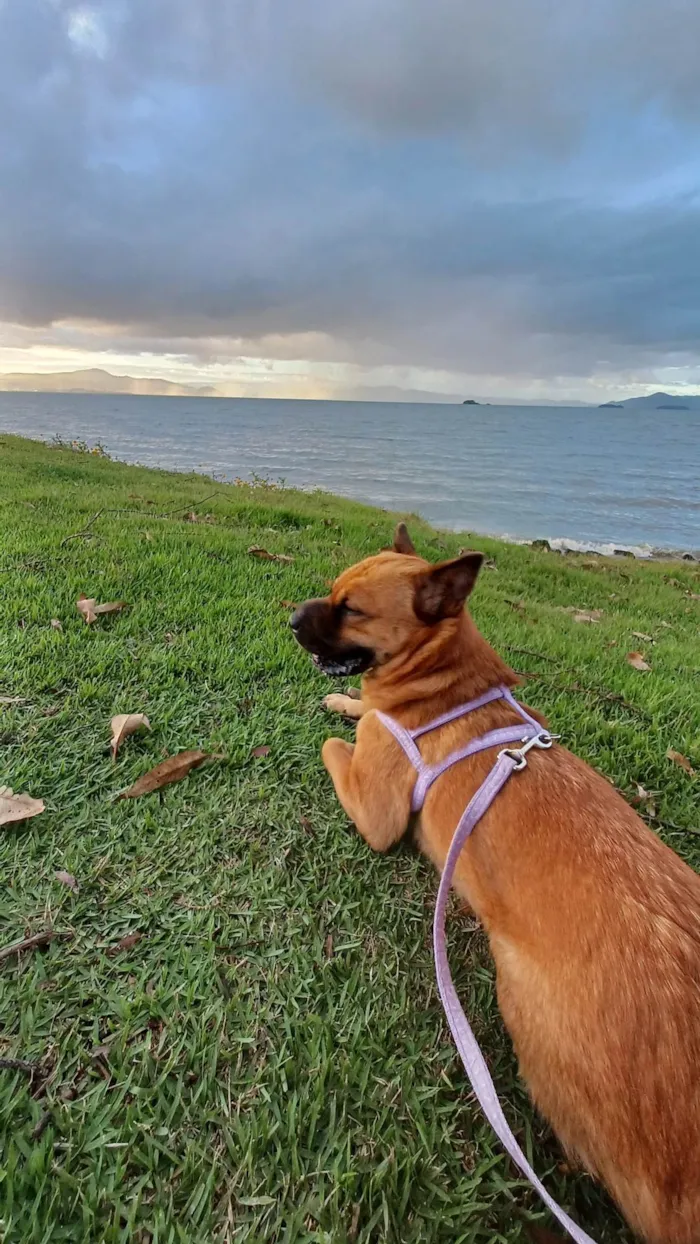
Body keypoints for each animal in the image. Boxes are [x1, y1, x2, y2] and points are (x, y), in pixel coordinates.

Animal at [292, 524, 700, 1244]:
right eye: (332, 593)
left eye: (352, 610)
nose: (289, 620)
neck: (442, 679)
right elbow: (355, 707)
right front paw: (344, 700)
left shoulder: (375, 812)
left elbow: (339, 745)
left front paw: (348, 719)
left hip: (524, 1006)